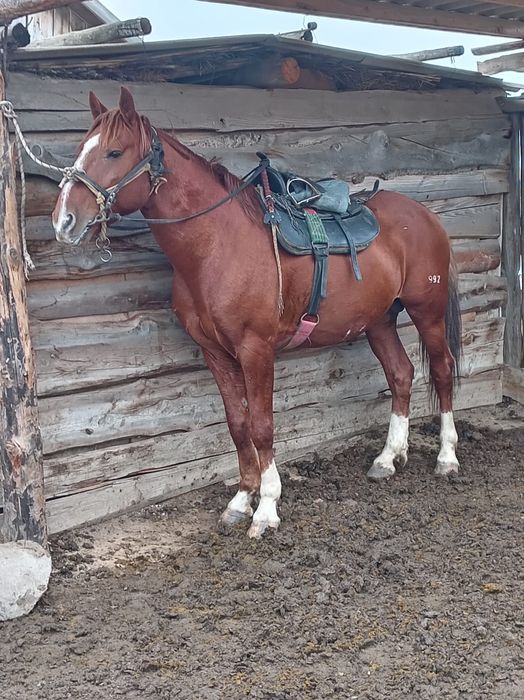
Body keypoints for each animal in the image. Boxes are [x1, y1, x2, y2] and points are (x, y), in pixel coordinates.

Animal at [52, 87, 462, 539]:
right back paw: (388, 458)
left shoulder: (256, 350)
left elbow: (263, 426)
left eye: (114, 152)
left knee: (442, 369)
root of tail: (423, 215)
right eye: (81, 147)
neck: (218, 246)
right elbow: (238, 424)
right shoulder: (215, 353)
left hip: (427, 312)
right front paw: (240, 499)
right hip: (379, 321)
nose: (63, 220)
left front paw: (266, 509)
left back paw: (446, 457)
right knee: (401, 375)